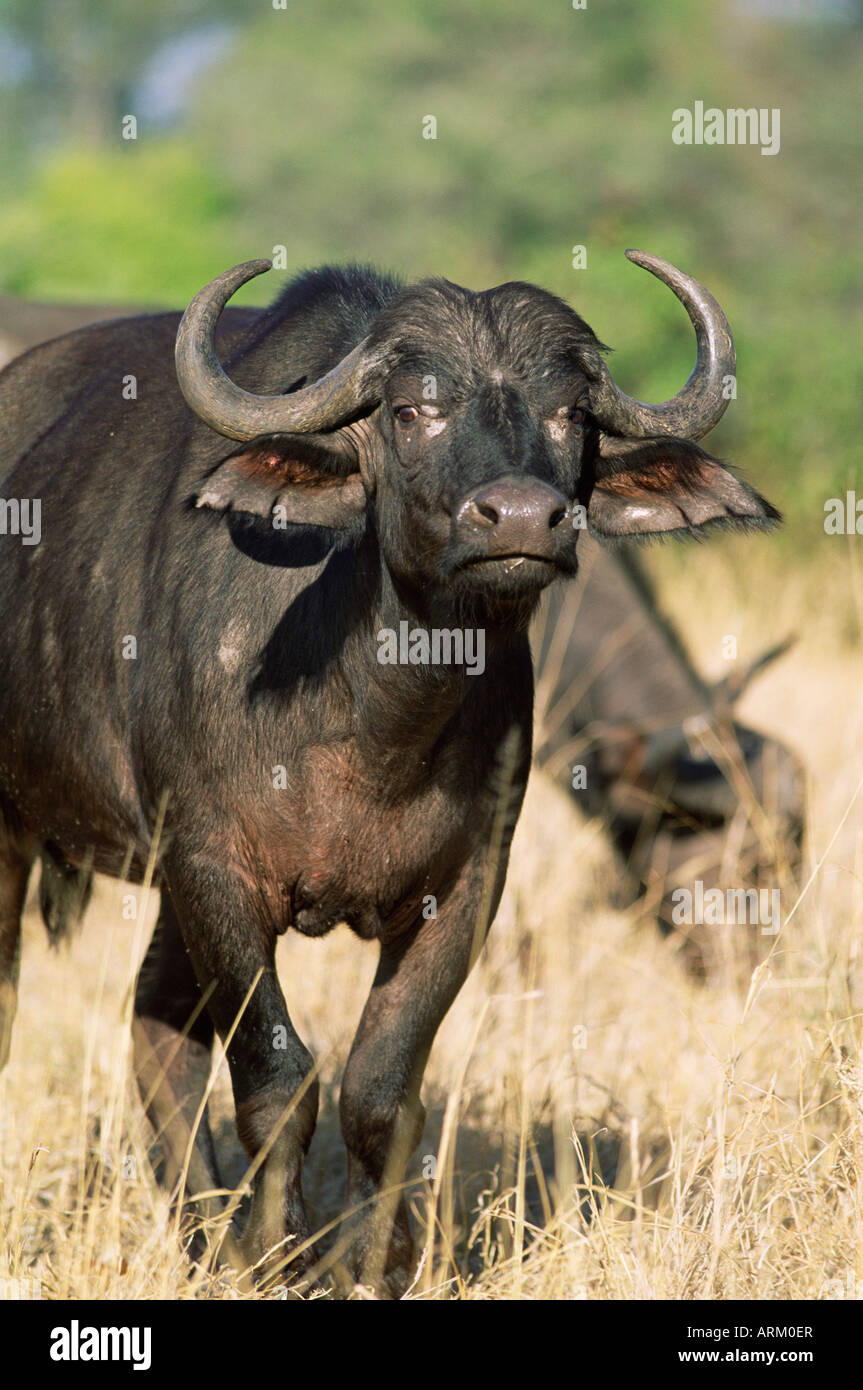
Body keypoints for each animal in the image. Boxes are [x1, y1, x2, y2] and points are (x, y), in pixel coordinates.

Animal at [0, 250, 779, 1292]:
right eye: (412, 411)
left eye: (569, 412)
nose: (520, 518)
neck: (375, 722)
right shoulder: (215, 871)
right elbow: (279, 1082)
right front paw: (279, 1254)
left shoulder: (465, 887)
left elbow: (380, 1089)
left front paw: (378, 1259)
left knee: (156, 1030)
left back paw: (202, 1237)